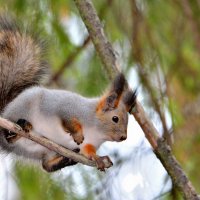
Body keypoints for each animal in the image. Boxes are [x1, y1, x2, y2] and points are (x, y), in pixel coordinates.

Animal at [0, 15, 136, 172]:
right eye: (115, 118)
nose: (123, 137)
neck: (96, 129)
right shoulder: (67, 107)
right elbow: (69, 121)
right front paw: (77, 135)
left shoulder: (89, 144)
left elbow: (88, 151)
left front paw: (98, 159)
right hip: (21, 108)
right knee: (7, 135)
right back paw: (17, 129)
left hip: (46, 150)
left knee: (46, 165)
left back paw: (67, 160)